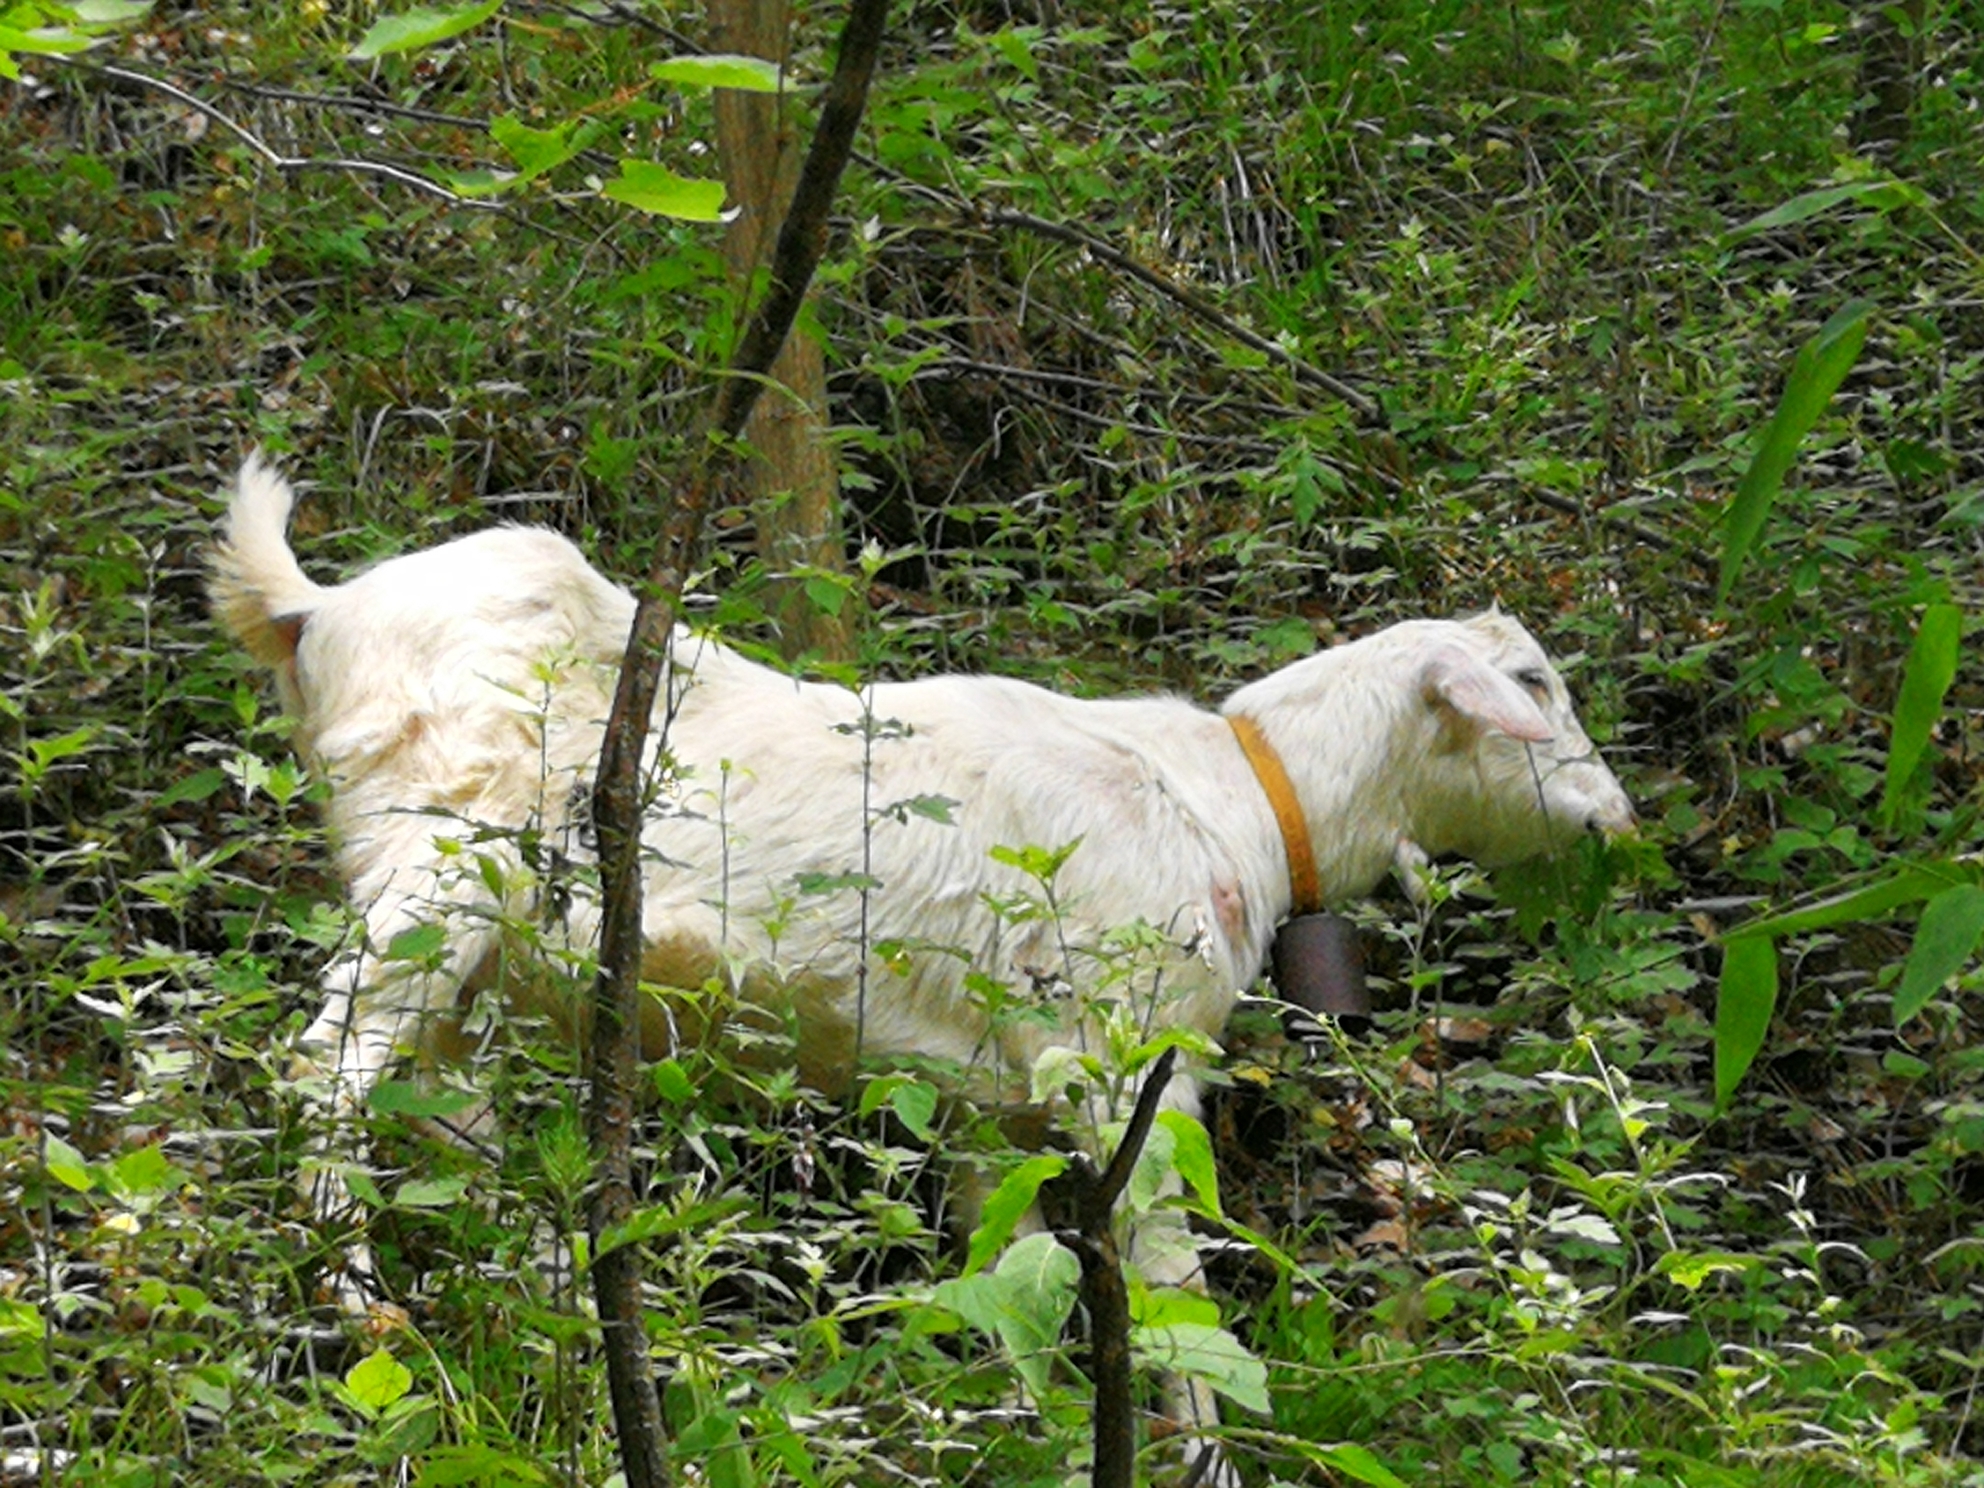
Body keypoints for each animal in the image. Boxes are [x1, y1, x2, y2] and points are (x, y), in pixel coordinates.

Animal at [209, 454, 1634, 1468]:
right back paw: (362, 1310)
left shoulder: (980, 1103)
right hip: (438, 863)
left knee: (449, 1117)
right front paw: (1198, 1454)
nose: (1617, 816)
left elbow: (1008, 1281)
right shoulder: (1123, 1066)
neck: (1235, 795)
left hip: (484, 966)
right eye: (1533, 681)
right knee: (325, 1074)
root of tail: (315, 609)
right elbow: (1172, 1302)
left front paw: (1022, 1421)